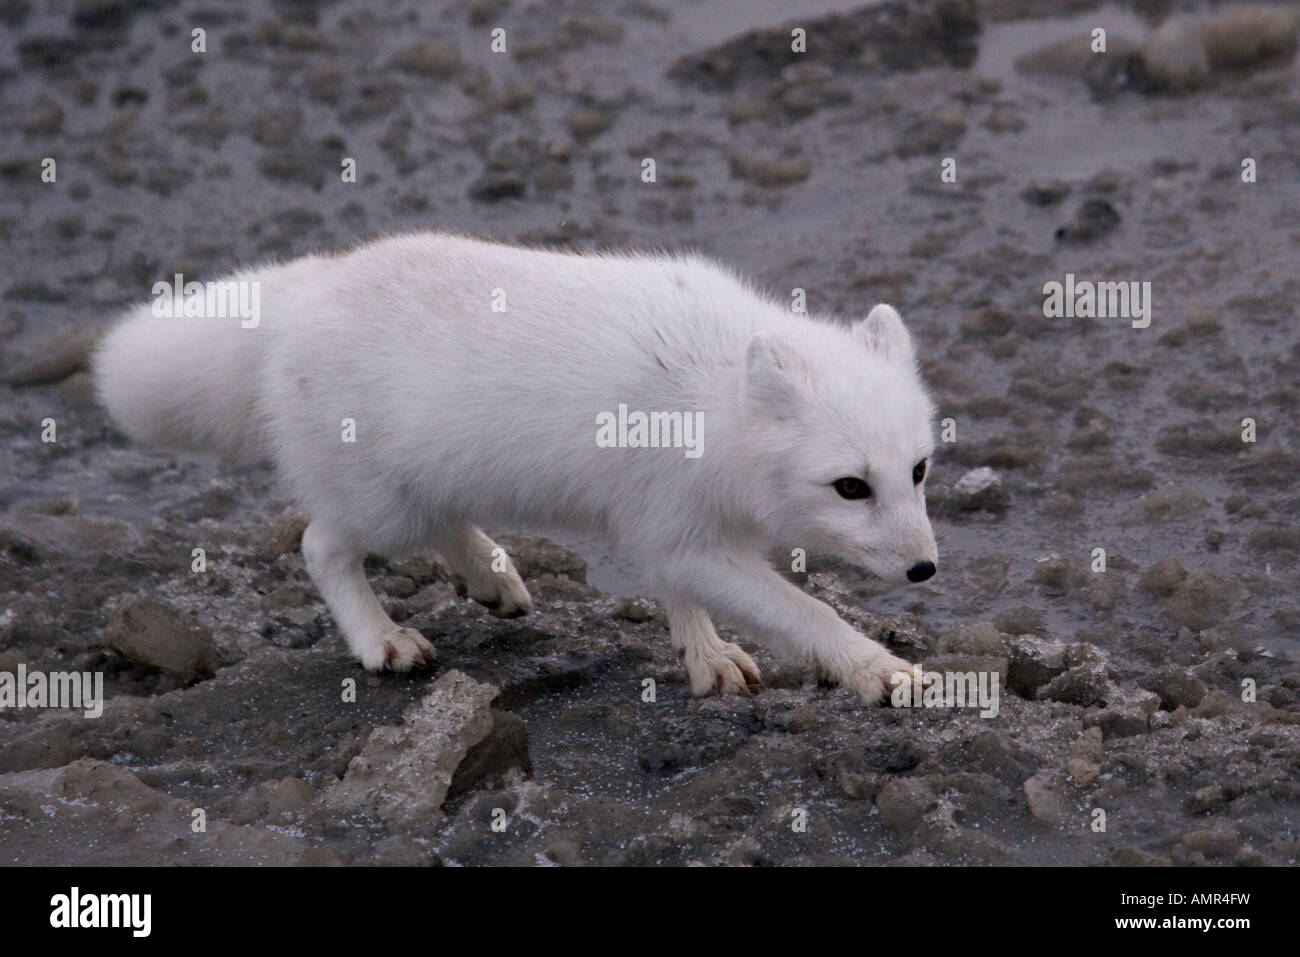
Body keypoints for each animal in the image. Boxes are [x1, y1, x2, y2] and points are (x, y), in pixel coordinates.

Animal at [96, 234, 941, 702]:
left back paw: (492, 576)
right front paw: (881, 670)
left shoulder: (665, 523)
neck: (711, 393)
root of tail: (311, 287)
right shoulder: (678, 525)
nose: (926, 569)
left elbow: (679, 593)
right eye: (851, 486)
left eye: (920, 470)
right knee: (320, 545)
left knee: (443, 523)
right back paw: (382, 639)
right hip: (380, 505)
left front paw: (705, 656)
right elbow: (806, 613)